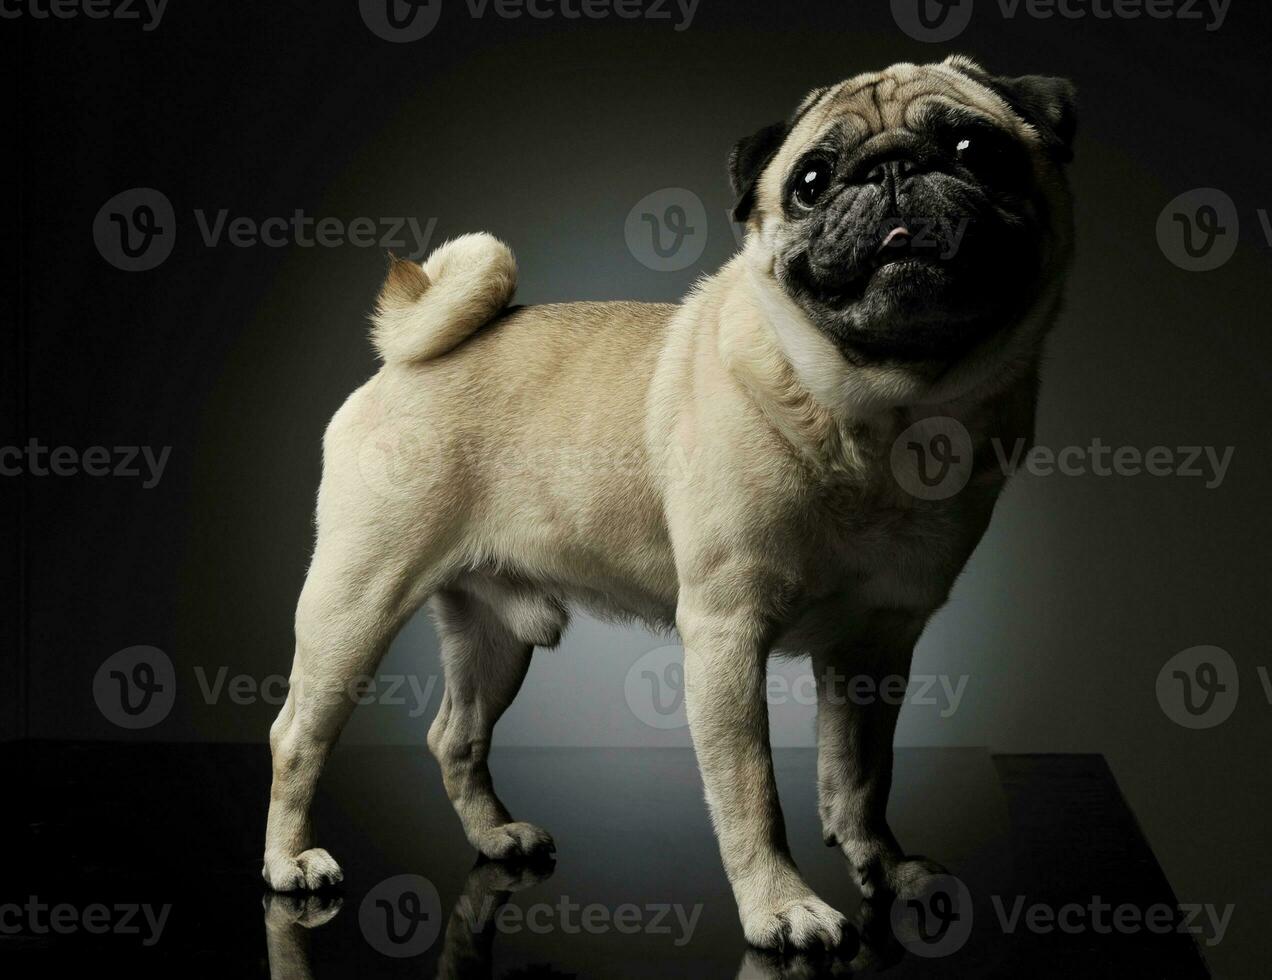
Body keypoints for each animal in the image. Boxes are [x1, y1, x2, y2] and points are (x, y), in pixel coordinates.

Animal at [260, 57, 1073, 952]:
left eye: (973, 150)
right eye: (813, 182)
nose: (891, 168)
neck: (887, 411)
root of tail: (407, 360)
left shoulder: (877, 647)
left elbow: (862, 776)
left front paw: (884, 868)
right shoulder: (726, 633)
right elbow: (751, 791)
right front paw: (781, 906)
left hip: (493, 633)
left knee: (456, 736)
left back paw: (495, 835)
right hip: (356, 602)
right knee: (297, 735)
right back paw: (290, 863)